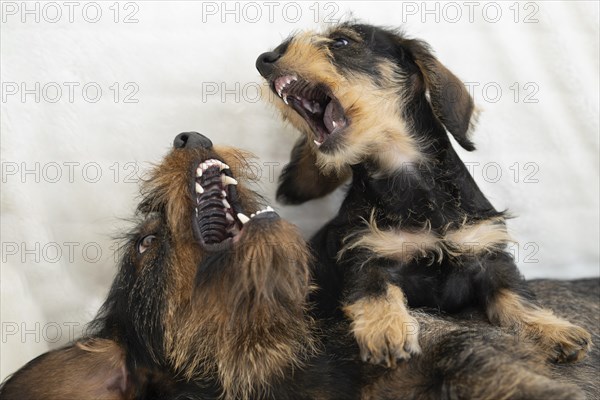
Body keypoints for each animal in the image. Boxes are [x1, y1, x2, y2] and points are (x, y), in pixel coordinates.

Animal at [255, 21, 592, 366]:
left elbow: (515, 295)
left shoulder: (487, 253)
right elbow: (374, 289)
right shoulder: (364, 253)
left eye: (342, 41)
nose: (264, 59)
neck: (409, 180)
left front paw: (552, 329)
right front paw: (386, 330)